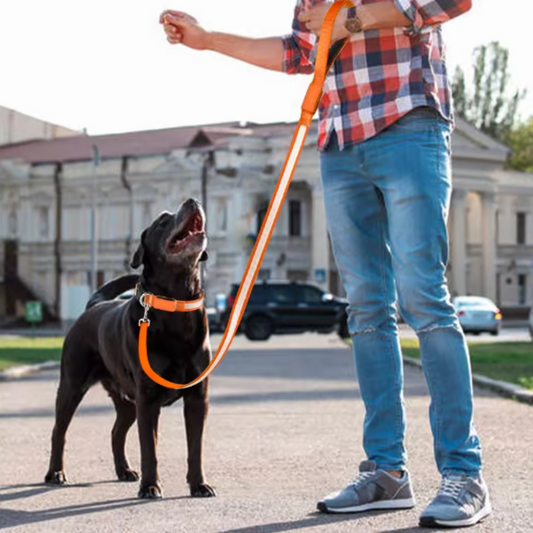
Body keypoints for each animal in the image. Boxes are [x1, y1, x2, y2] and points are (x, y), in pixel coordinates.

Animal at [44, 196, 214, 498]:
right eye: (162, 221)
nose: (192, 200)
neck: (176, 304)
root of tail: (94, 306)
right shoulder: (147, 399)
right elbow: (150, 449)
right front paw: (150, 486)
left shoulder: (197, 397)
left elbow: (196, 448)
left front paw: (199, 485)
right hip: (72, 385)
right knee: (58, 431)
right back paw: (55, 473)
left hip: (125, 400)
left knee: (116, 431)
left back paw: (124, 470)